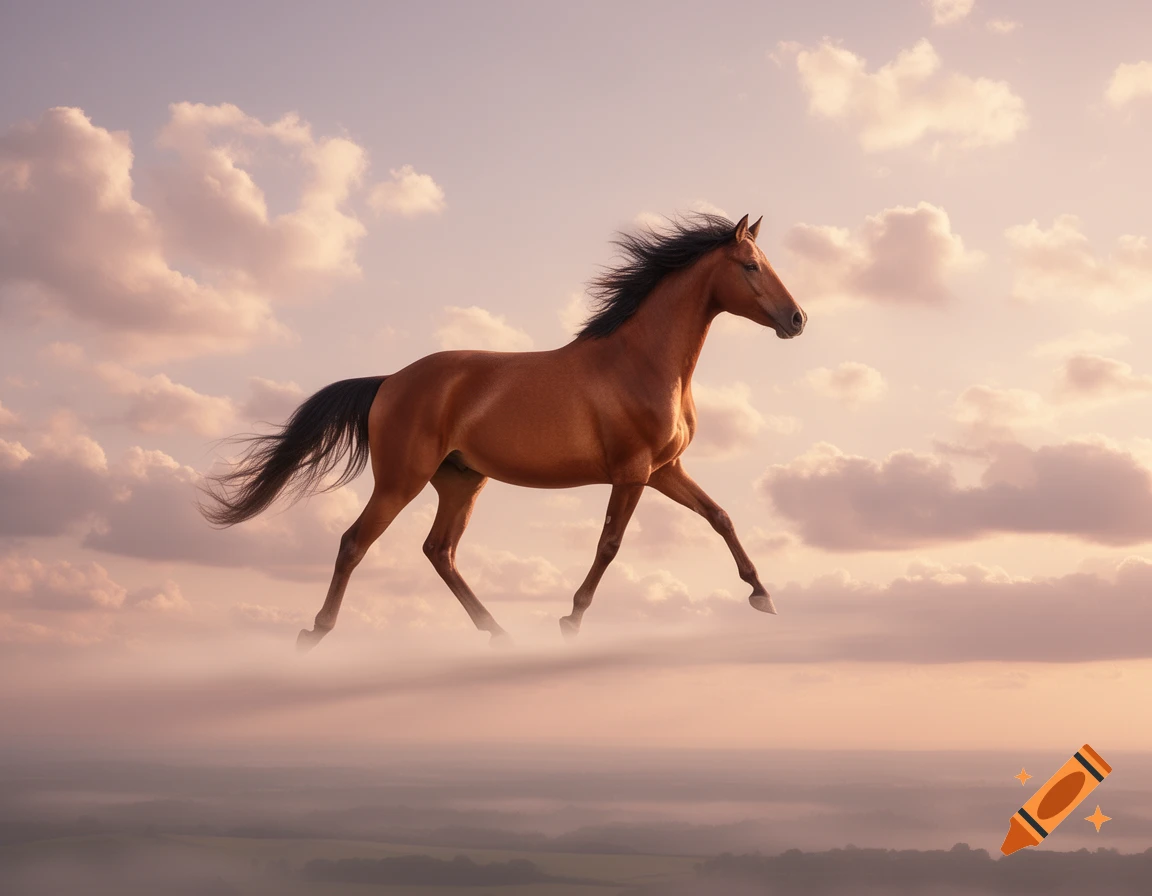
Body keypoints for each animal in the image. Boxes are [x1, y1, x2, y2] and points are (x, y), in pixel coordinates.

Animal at [199, 212, 807, 651]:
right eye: (750, 265)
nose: (797, 319)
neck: (641, 362)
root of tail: (389, 381)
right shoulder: (633, 473)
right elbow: (610, 544)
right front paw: (571, 618)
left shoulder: (665, 471)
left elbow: (720, 516)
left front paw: (762, 594)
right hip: (401, 480)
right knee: (355, 543)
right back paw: (315, 632)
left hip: (461, 481)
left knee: (439, 550)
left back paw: (498, 632)